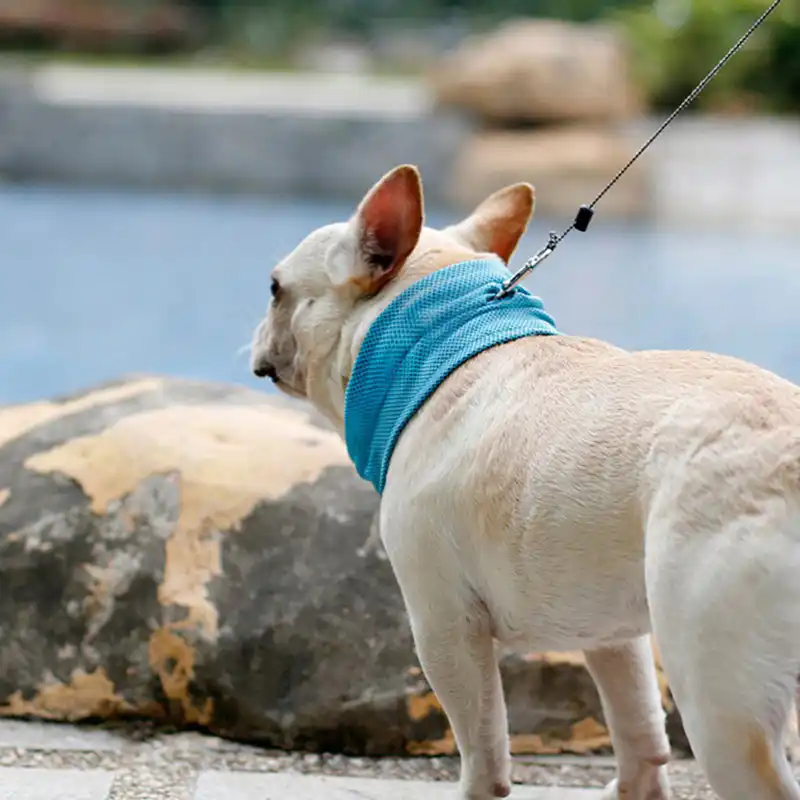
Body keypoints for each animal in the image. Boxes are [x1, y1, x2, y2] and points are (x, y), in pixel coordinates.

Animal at [250, 164, 800, 800]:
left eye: (275, 288)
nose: (258, 322)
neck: (441, 347)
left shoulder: (444, 626)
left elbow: (483, 743)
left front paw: (476, 789)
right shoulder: (613, 634)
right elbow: (636, 723)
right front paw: (634, 789)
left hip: (718, 694)